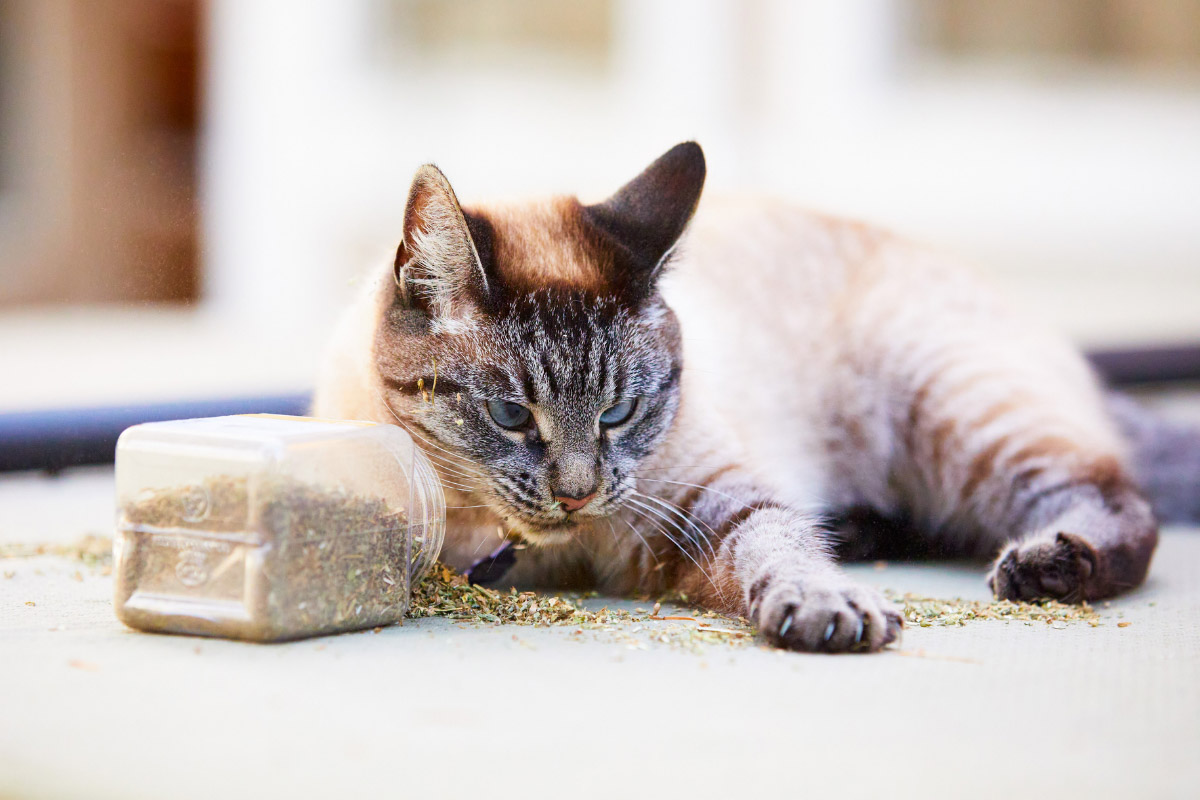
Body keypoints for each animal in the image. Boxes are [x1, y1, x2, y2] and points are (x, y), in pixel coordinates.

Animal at [314, 140, 1176, 652]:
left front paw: (831, 609)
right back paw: (862, 529)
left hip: (954, 416)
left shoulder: (714, 509)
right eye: (510, 416)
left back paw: (1048, 567)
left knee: (1117, 498)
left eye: (619, 412)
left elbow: (780, 546)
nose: (578, 495)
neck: (546, 554)